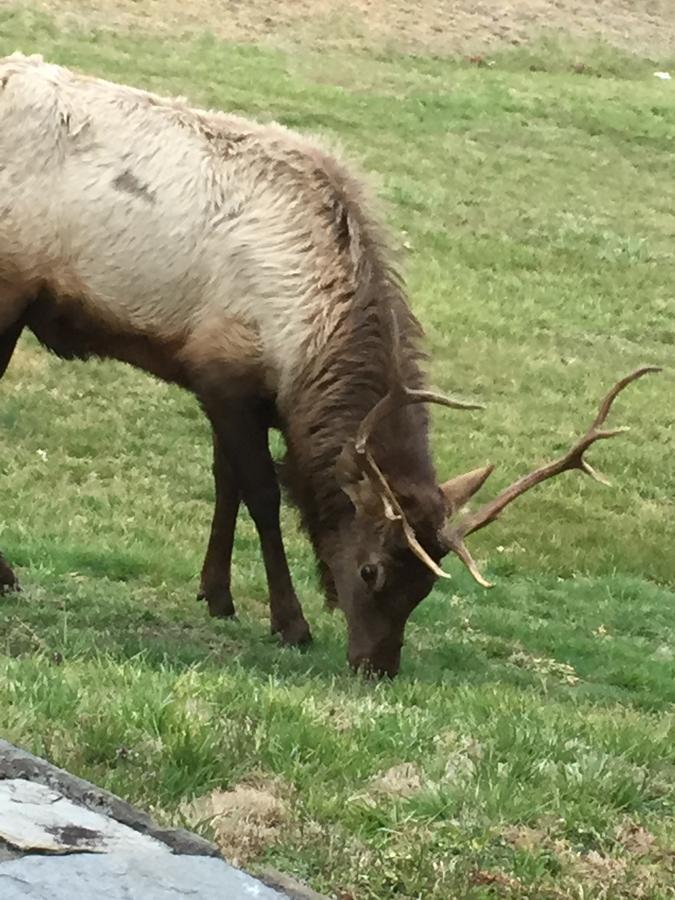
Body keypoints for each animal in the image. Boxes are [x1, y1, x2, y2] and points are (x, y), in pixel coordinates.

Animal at [0, 54, 656, 676]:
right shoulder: (221, 372)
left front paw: (217, 594)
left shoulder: (239, 389)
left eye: (426, 585)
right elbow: (262, 494)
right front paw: (290, 622)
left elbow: (224, 482)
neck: (304, 345)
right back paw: (8, 573)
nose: (378, 666)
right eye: (370, 571)